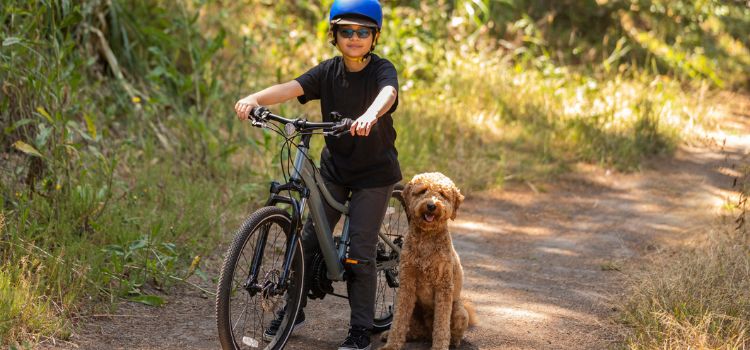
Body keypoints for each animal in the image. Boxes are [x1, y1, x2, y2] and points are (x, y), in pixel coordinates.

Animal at [382, 173, 482, 350]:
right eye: (422, 191)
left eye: (442, 194)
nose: (431, 205)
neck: (427, 238)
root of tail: (426, 333)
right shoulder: (407, 284)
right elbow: (399, 320)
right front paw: (392, 344)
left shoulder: (444, 287)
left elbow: (441, 325)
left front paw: (440, 346)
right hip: (414, 311)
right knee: (410, 330)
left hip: (459, 311)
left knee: (452, 334)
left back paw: (451, 342)